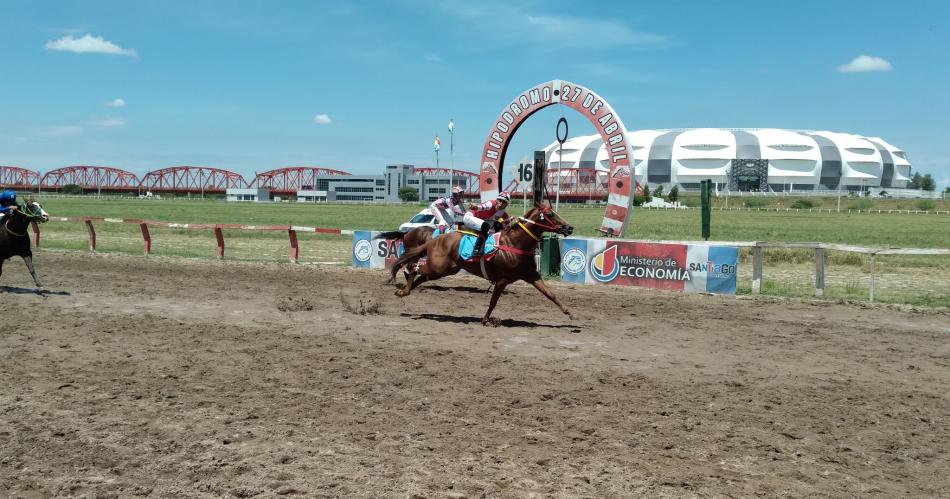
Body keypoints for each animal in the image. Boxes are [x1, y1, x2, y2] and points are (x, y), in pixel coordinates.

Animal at [392, 203, 576, 328]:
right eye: (551, 214)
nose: (569, 227)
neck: (515, 243)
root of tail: (435, 239)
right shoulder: (502, 279)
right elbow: (493, 301)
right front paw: (486, 319)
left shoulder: (531, 275)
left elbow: (550, 294)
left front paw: (569, 313)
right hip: (439, 266)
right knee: (414, 269)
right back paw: (404, 288)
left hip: (447, 269)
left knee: (422, 276)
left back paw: (403, 291)